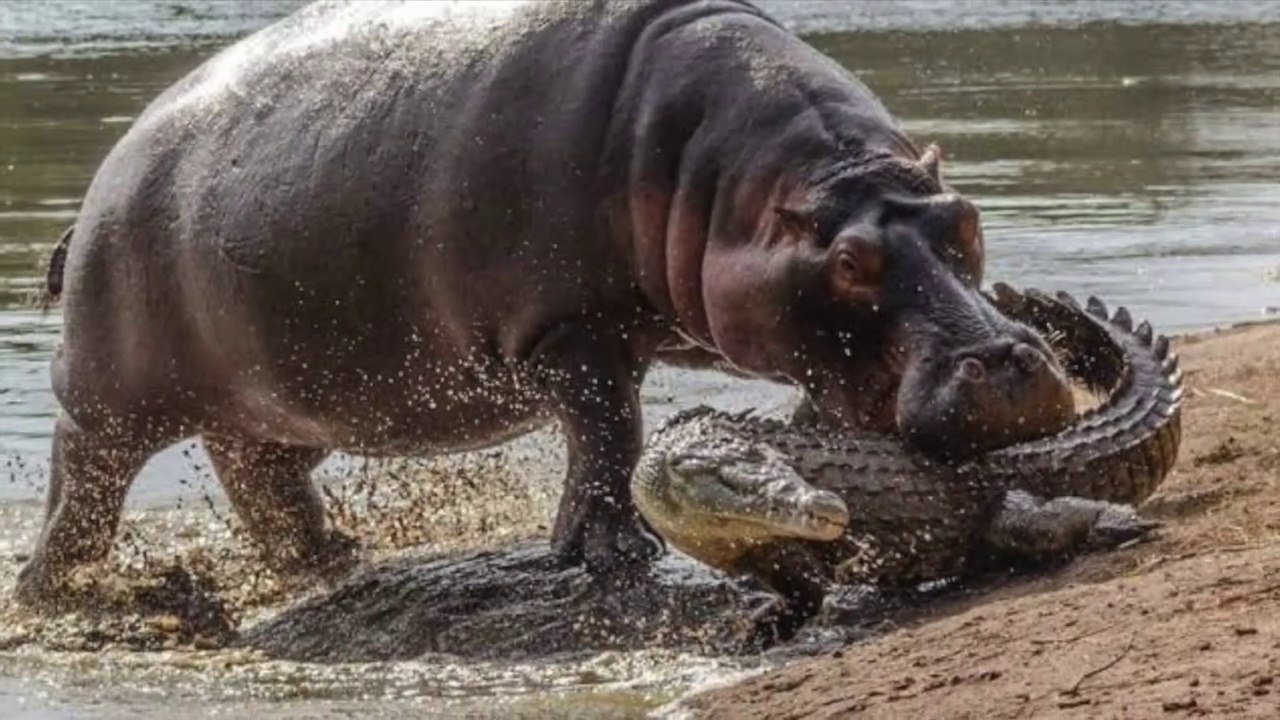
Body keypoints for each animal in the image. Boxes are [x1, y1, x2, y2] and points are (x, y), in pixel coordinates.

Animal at [17, 0, 1074, 604]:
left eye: (965, 219)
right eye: (851, 261)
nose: (1010, 363)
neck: (732, 185)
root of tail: (99, 186)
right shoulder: (570, 332)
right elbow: (607, 432)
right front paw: (611, 555)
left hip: (283, 396)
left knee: (259, 472)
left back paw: (331, 562)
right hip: (118, 392)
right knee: (86, 471)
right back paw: (59, 592)